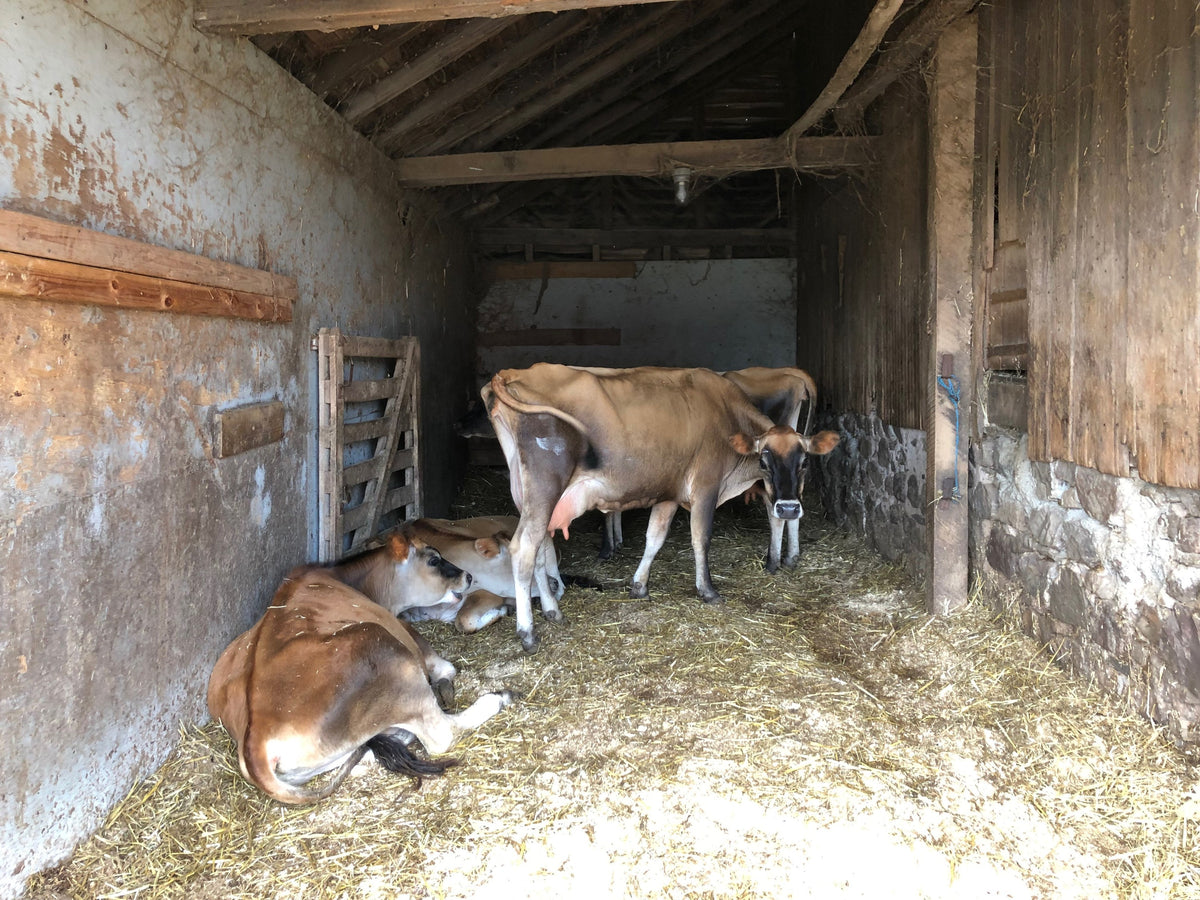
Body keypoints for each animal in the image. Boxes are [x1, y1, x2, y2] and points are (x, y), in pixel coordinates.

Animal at [207, 531, 515, 805]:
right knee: (442, 735)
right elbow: (443, 666)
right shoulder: (405, 631)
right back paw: (498, 698)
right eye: (433, 560)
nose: (468, 576)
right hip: (381, 646)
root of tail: (255, 742)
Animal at [483, 363, 840, 651]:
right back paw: (528, 632)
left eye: (804, 462)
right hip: (545, 485)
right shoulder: (706, 486)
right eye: (764, 461)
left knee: (541, 548)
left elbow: (654, 538)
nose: (789, 508)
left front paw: (639, 585)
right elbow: (700, 538)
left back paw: (552, 611)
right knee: (524, 549)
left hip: (530, 493)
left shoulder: (669, 493)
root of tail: (513, 373)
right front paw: (707, 590)